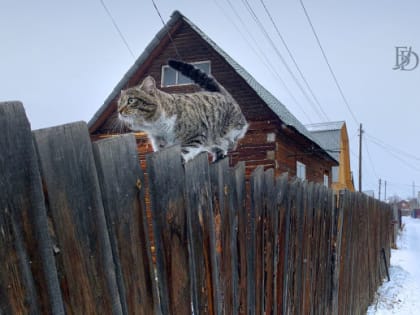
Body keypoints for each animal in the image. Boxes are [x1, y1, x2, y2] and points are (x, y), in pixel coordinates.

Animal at [118, 59, 248, 163]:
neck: (155, 126)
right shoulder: (159, 142)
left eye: (130, 100)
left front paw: (180, 158)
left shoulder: (197, 133)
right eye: (119, 103)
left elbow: (186, 149)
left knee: (229, 143)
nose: (119, 110)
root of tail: (220, 93)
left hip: (228, 132)